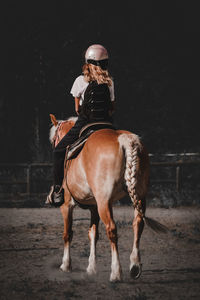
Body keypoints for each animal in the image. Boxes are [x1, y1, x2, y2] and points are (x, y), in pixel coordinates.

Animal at [48, 113, 167, 282]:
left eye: (54, 139)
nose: (54, 144)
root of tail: (124, 139)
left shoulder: (67, 205)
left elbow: (68, 234)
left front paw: (66, 265)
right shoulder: (94, 207)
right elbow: (93, 234)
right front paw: (91, 268)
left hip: (104, 202)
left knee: (112, 229)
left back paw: (116, 272)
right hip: (139, 198)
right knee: (138, 224)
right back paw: (135, 266)